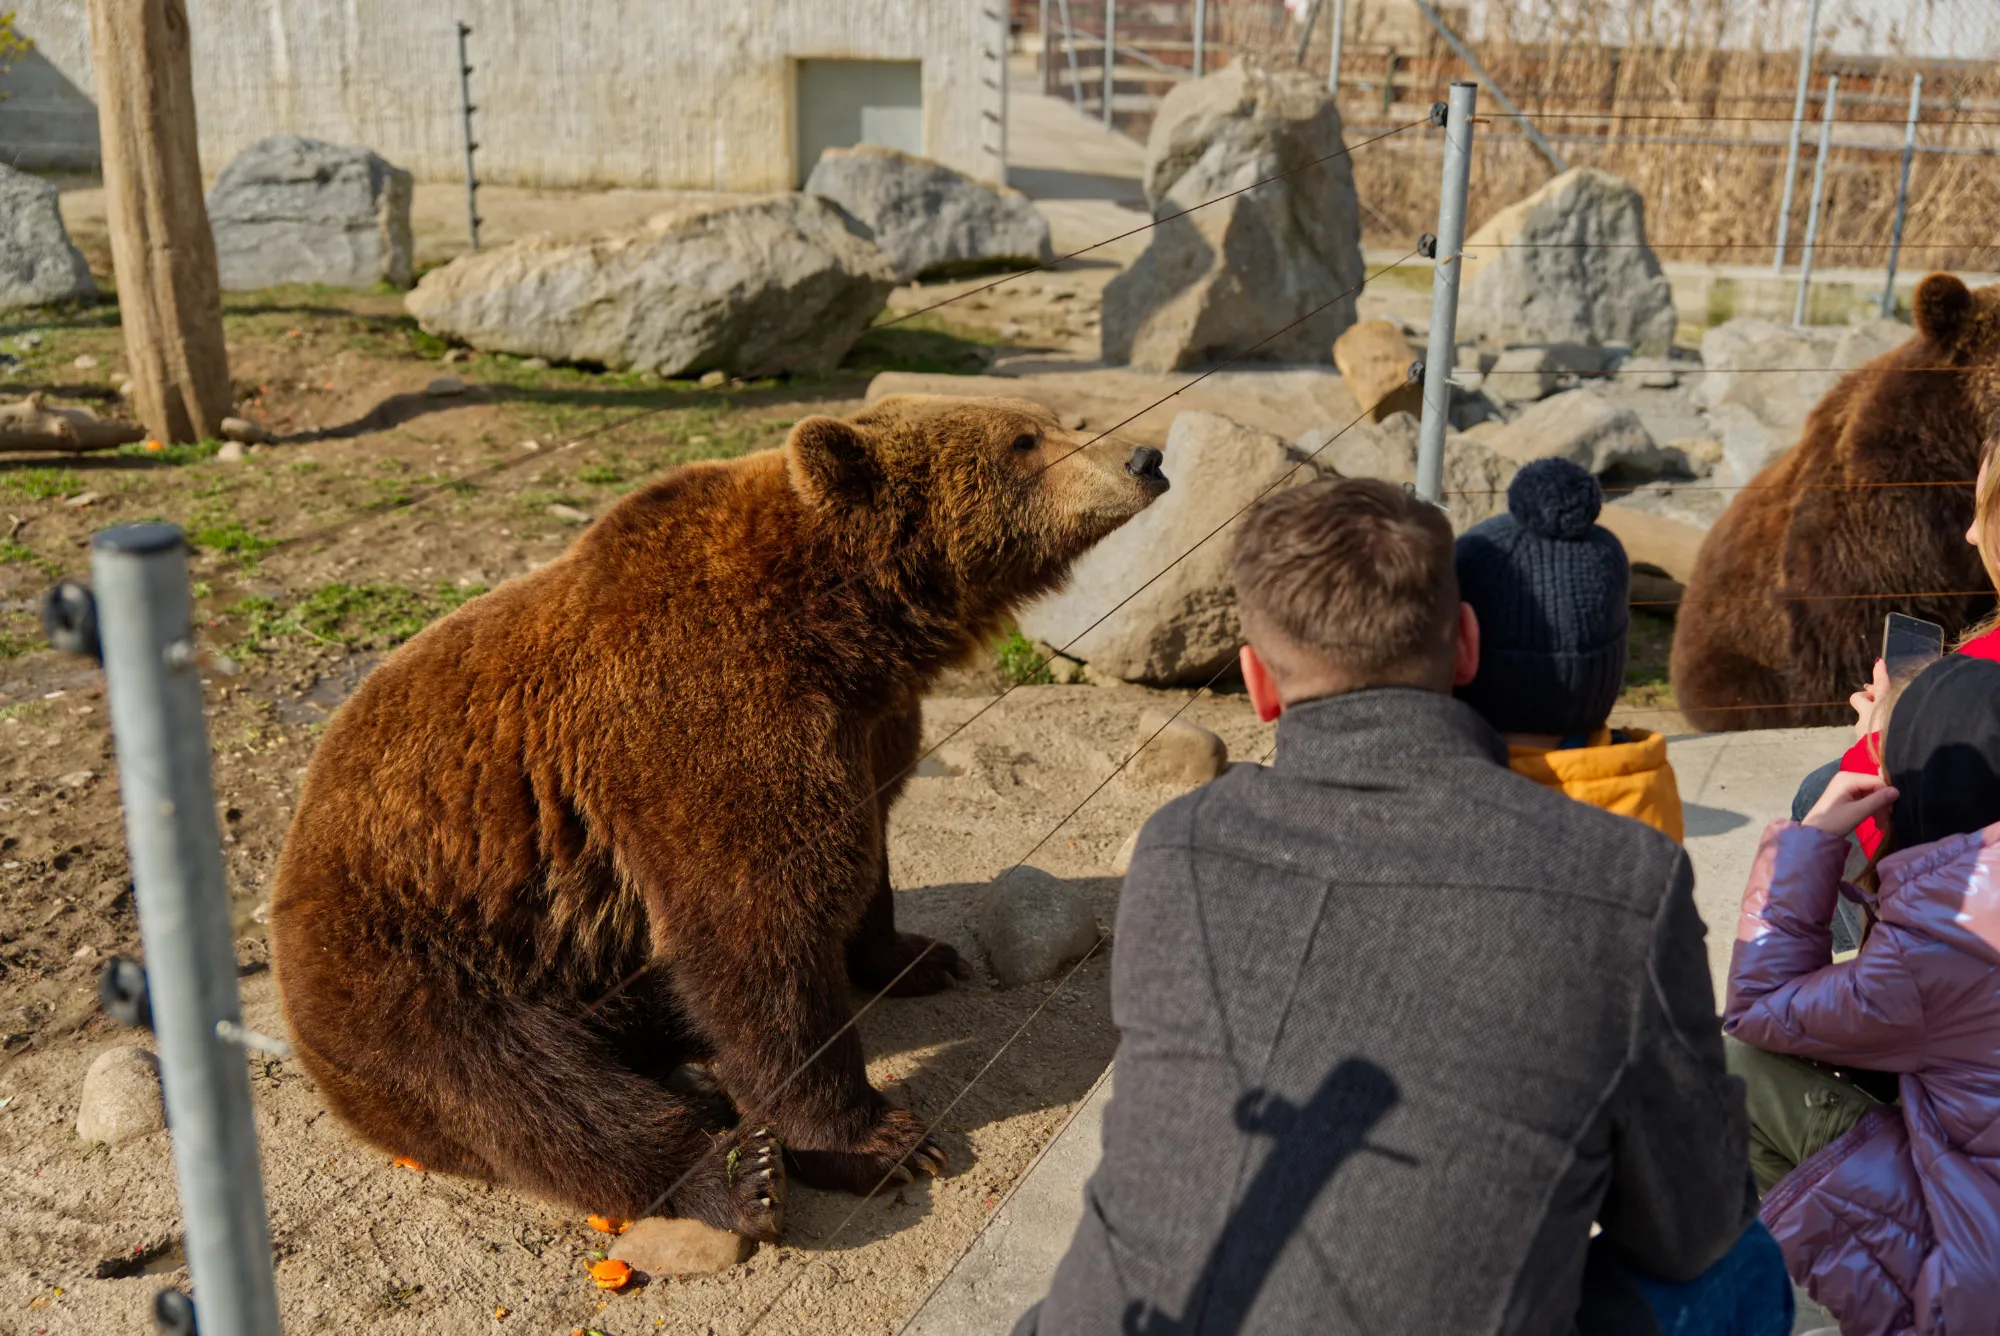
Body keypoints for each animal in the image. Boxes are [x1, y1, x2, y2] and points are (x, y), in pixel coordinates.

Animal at [270, 392, 1168, 1240]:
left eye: (1057, 420)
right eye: (1025, 441)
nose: (1146, 456)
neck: (846, 627)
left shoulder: (870, 727)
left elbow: (865, 855)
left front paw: (915, 956)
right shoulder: (696, 714)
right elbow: (754, 931)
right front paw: (877, 1139)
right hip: (414, 958)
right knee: (514, 1086)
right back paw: (738, 1176)